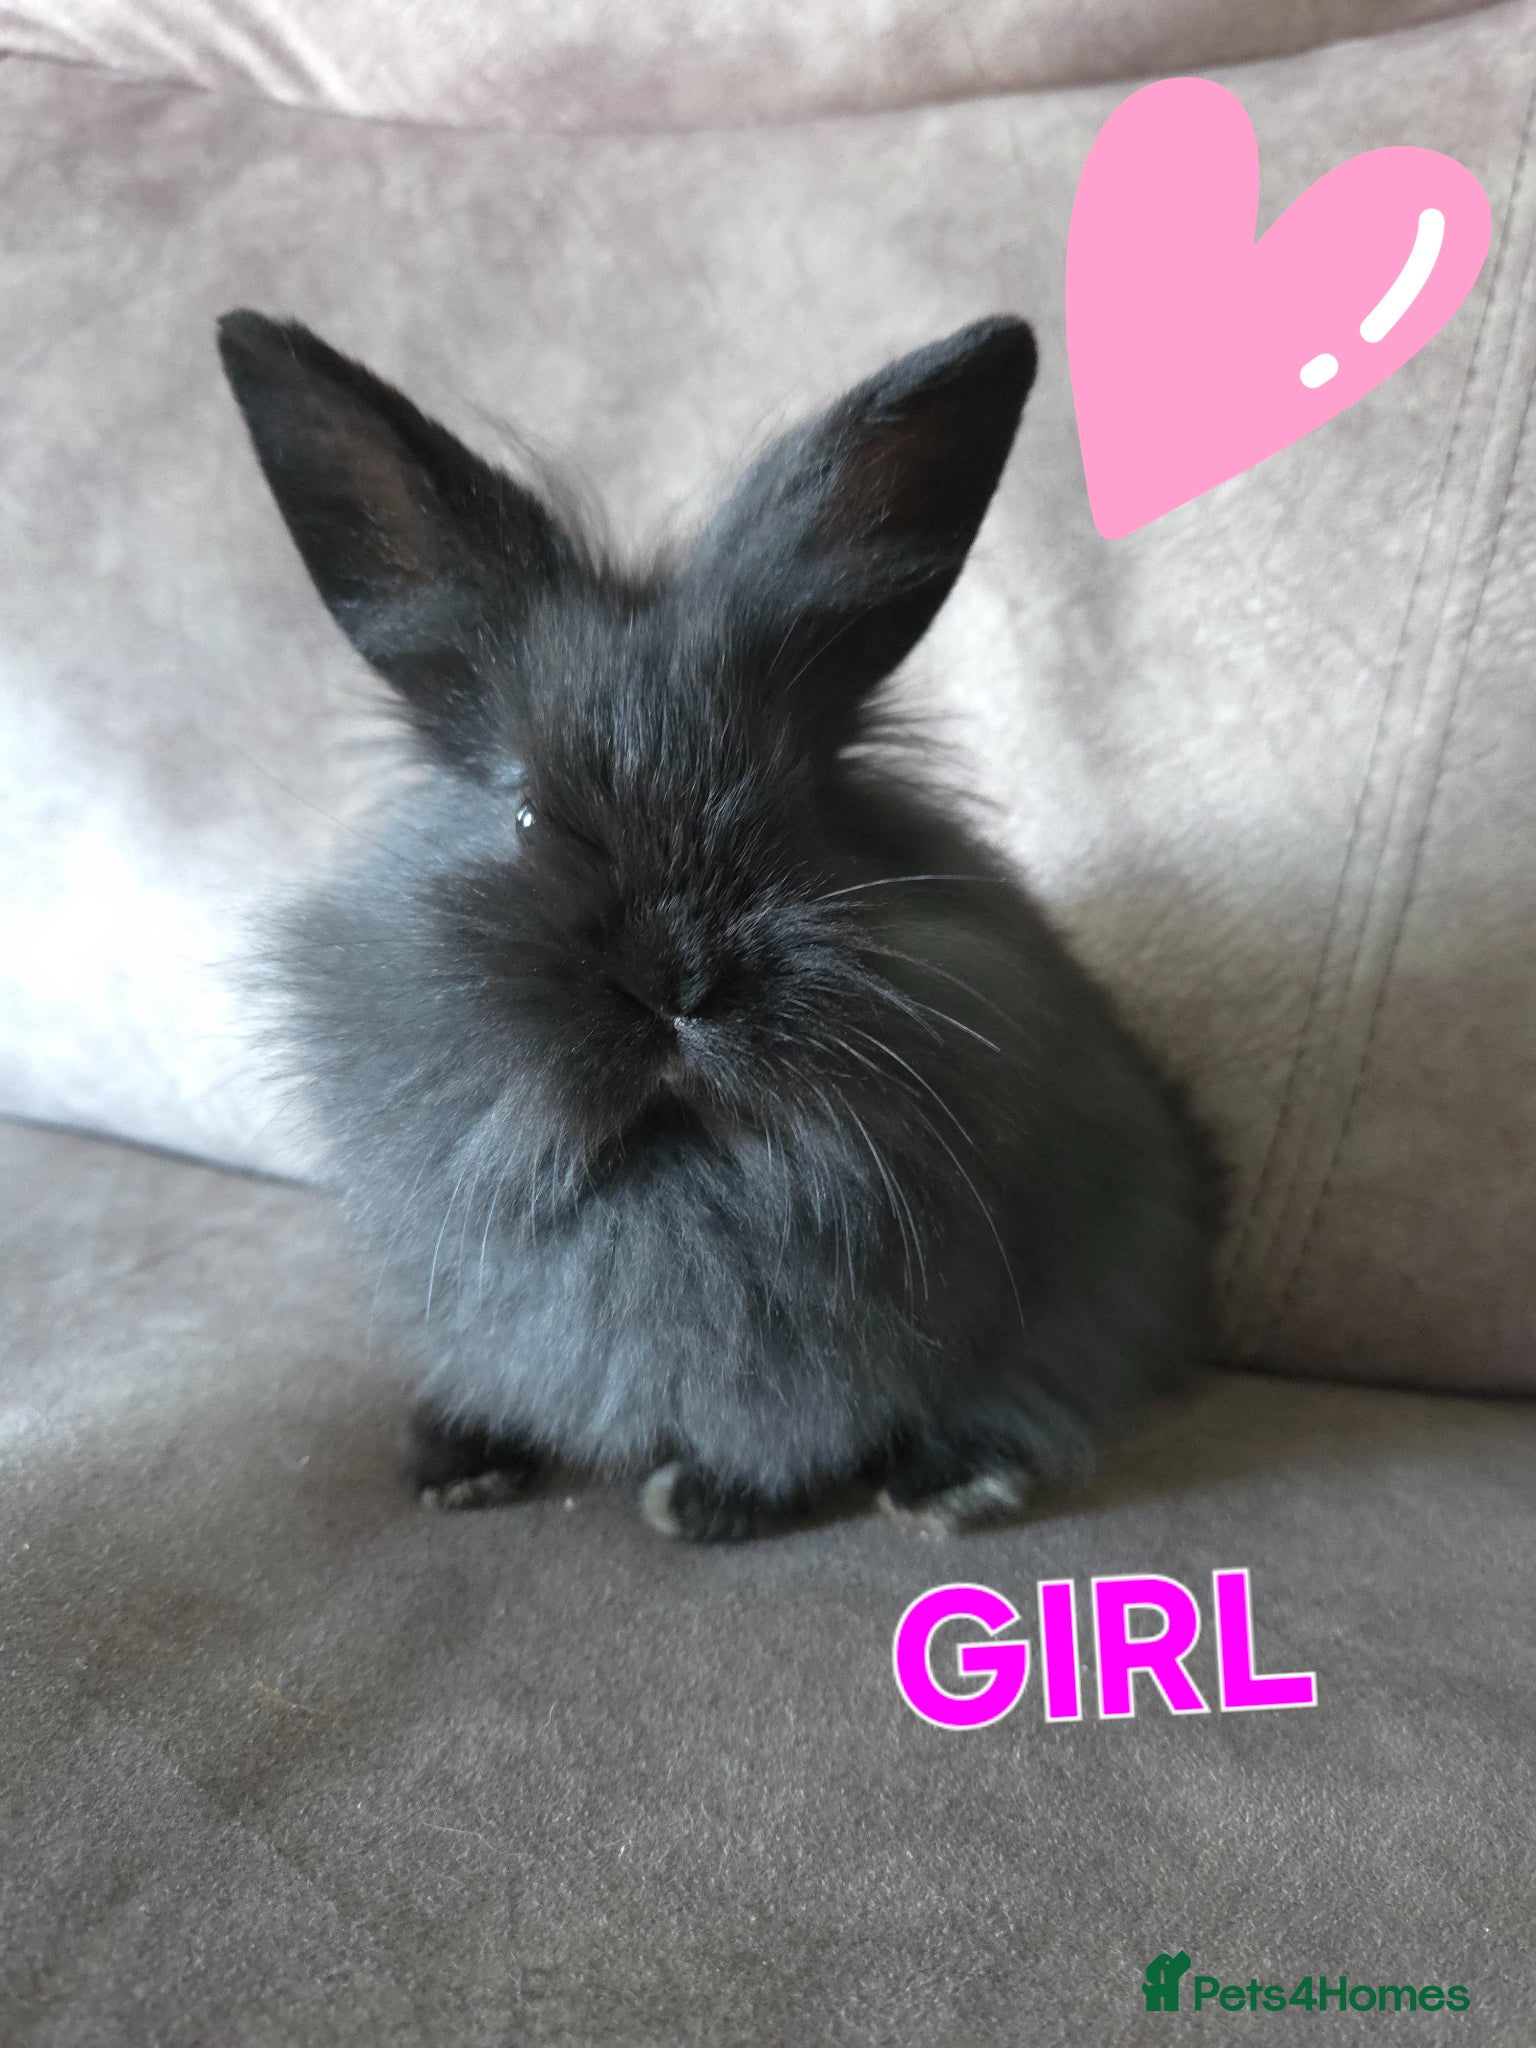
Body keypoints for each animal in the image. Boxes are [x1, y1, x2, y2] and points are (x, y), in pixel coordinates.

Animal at [217, 307, 1221, 1543]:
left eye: (797, 806)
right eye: (526, 813)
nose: (672, 981)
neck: (670, 1165)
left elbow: (795, 1428)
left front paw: (706, 1503)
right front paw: (454, 1458)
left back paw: (942, 1485)